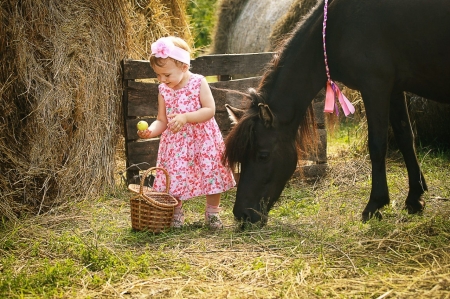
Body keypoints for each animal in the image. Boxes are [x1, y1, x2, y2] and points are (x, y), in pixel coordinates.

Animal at [222, 0, 450, 225]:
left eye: (263, 155)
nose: (241, 214)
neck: (336, 28)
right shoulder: (394, 89)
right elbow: (406, 139)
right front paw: (414, 199)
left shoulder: (376, 87)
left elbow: (377, 146)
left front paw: (374, 205)